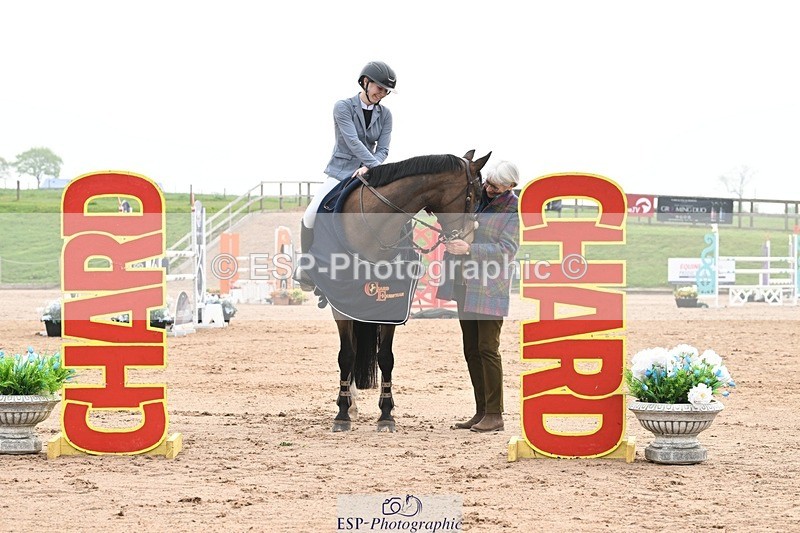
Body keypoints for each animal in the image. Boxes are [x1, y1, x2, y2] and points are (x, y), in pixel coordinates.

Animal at [321, 149, 491, 432]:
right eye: (476, 195)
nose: (467, 241)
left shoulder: (392, 304)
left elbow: (386, 357)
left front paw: (386, 415)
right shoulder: (341, 304)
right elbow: (346, 356)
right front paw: (342, 414)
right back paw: (350, 405)